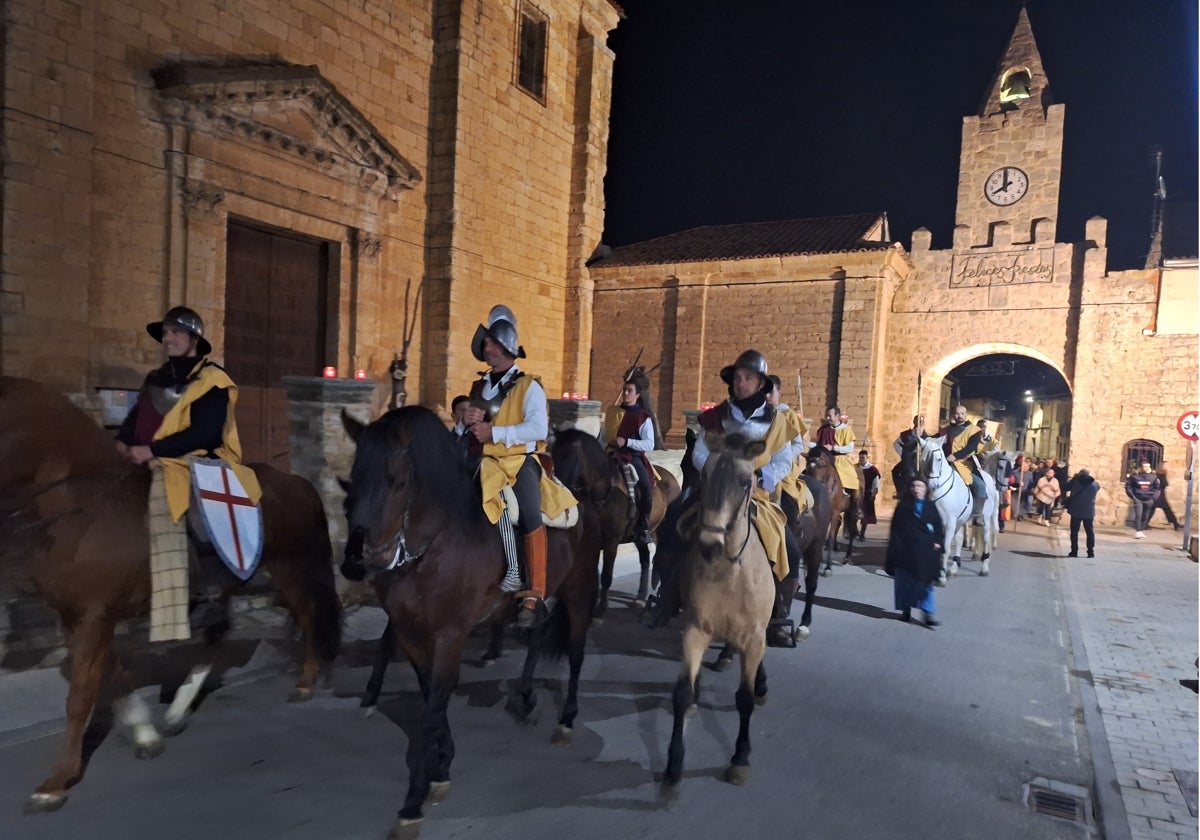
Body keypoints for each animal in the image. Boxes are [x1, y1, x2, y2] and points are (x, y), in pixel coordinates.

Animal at [1, 376, 348, 816]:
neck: (84, 505)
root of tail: (298, 483)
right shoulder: (80, 617)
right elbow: (113, 675)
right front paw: (144, 733)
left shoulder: (95, 616)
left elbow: (79, 697)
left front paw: (54, 785)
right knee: (218, 636)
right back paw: (181, 707)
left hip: (290, 569)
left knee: (307, 616)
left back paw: (305, 682)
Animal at [338, 405, 600, 835]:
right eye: (354, 482)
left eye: (398, 481)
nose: (369, 559)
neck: (434, 544)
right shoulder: (411, 634)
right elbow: (430, 696)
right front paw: (441, 769)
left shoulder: (449, 635)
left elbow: (433, 706)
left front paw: (413, 802)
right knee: (536, 631)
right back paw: (525, 696)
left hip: (579, 590)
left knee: (576, 652)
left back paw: (565, 720)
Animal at [549, 427, 681, 619]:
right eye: (553, 453)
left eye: (569, 455)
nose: (556, 489)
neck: (603, 492)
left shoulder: (611, 541)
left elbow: (606, 575)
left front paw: (601, 608)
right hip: (641, 534)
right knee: (645, 558)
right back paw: (640, 597)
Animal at [662, 429, 772, 792]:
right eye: (705, 475)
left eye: (745, 481)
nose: (709, 545)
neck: (729, 572)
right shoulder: (696, 630)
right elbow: (681, 693)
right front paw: (673, 765)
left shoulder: (753, 637)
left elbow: (745, 698)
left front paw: (739, 758)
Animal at [916, 436, 1003, 580]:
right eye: (923, 459)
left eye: (939, 459)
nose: (933, 485)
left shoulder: (948, 523)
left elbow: (945, 549)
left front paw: (941, 576)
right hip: (960, 521)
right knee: (959, 540)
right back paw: (954, 568)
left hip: (984, 518)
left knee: (985, 539)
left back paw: (984, 568)